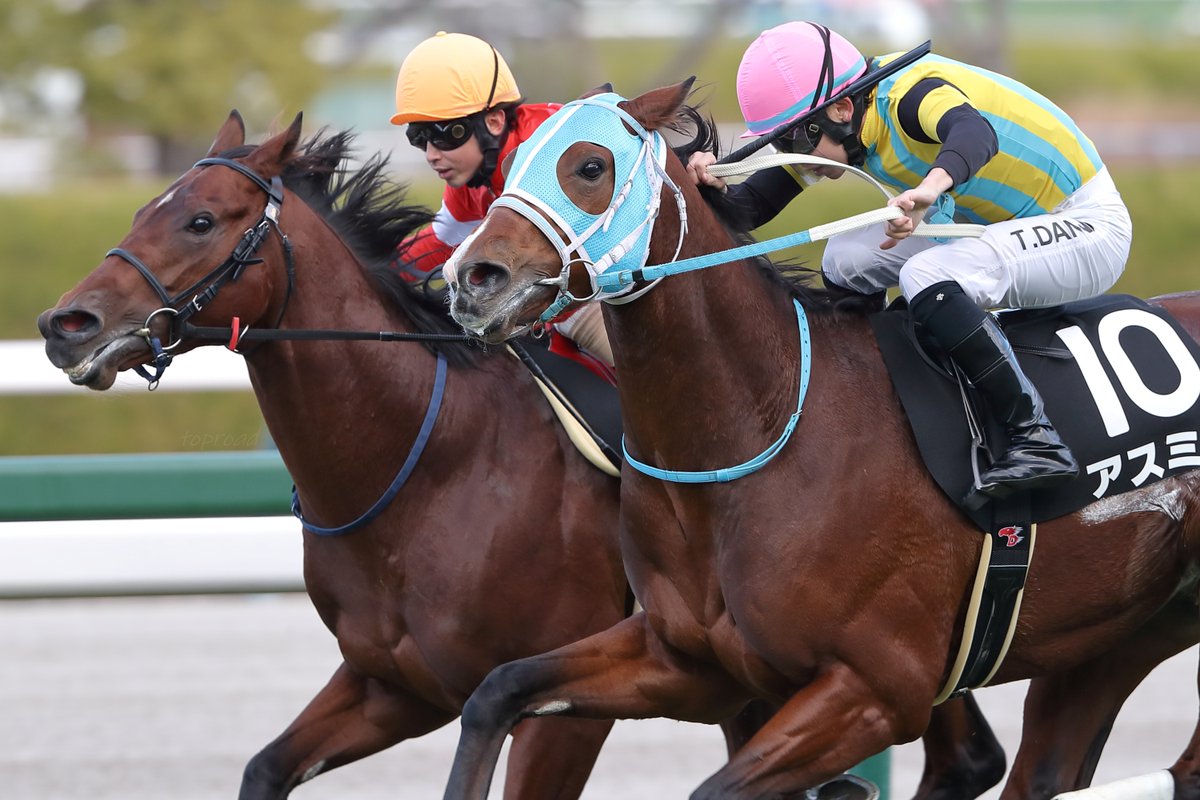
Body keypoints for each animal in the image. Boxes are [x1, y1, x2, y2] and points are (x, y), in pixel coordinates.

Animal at [442, 80, 1200, 800]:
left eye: (590, 166)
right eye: (513, 160)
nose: (475, 279)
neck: (760, 425)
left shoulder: (876, 690)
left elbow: (719, 789)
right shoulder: (684, 661)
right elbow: (495, 694)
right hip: (1117, 633)